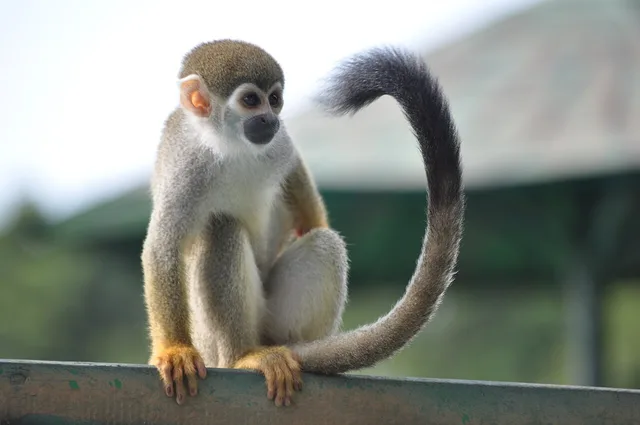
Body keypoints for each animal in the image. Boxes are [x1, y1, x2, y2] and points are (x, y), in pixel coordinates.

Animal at [141, 39, 464, 408]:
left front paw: (309, 223)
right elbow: (163, 248)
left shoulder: (278, 143)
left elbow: (297, 180)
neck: (231, 146)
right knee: (220, 228)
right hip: (209, 340)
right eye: (250, 100)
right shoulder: (187, 167)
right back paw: (242, 356)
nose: (269, 118)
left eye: (274, 98)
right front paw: (175, 350)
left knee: (324, 242)